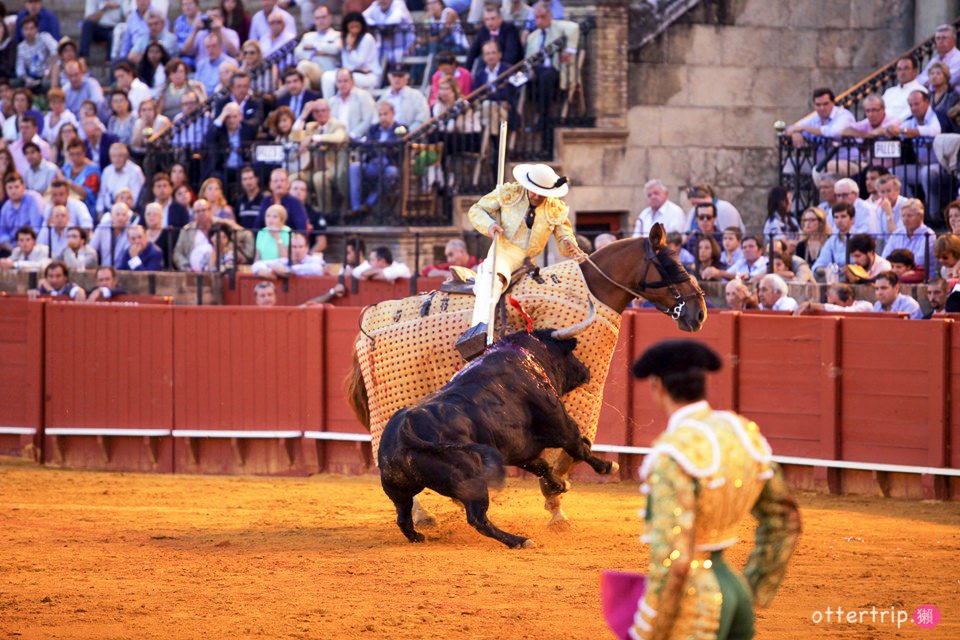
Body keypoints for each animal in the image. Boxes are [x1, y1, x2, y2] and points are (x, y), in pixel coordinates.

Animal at [346, 224, 704, 524]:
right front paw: (555, 504)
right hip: (391, 408)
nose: (698, 313)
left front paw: (556, 500)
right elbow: (570, 448)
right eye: (672, 266)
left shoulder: (582, 402)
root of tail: (365, 327)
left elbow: (571, 450)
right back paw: (424, 515)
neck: (590, 291)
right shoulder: (562, 404)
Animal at [376, 330, 616, 552]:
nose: (586, 370)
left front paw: (560, 484)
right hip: (473, 482)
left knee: (403, 517)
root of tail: (405, 430)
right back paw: (519, 541)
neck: (529, 355)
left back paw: (418, 537)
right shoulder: (561, 424)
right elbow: (580, 447)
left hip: (399, 490)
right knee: (478, 519)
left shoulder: (520, 450)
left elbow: (542, 466)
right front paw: (608, 466)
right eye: (570, 354)